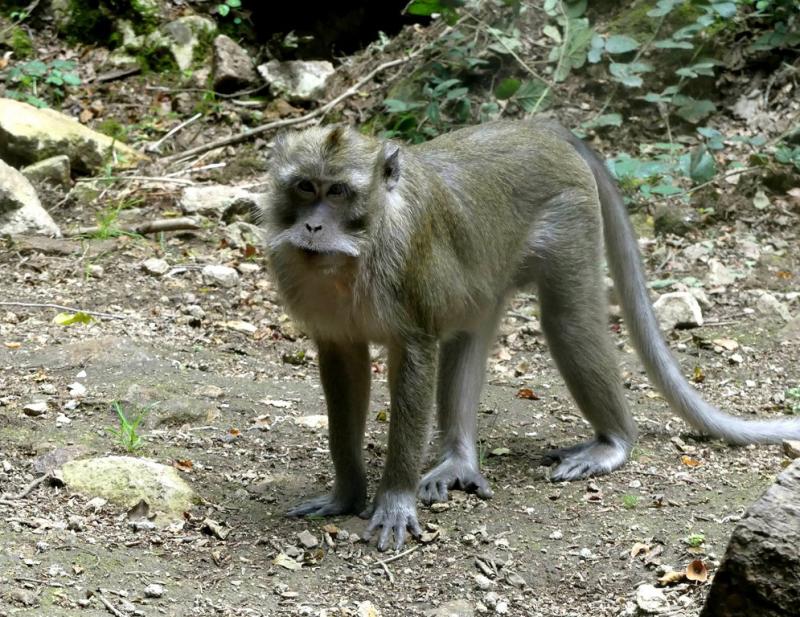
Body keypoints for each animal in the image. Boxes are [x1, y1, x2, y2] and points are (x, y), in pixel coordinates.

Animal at [261, 119, 800, 551]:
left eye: (338, 193)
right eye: (305, 187)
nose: (312, 227)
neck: (358, 251)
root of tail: (537, 125)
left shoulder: (407, 275)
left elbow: (416, 353)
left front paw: (394, 499)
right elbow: (343, 364)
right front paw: (346, 494)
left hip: (569, 215)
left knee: (568, 321)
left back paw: (614, 443)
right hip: (491, 270)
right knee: (468, 333)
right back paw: (458, 462)